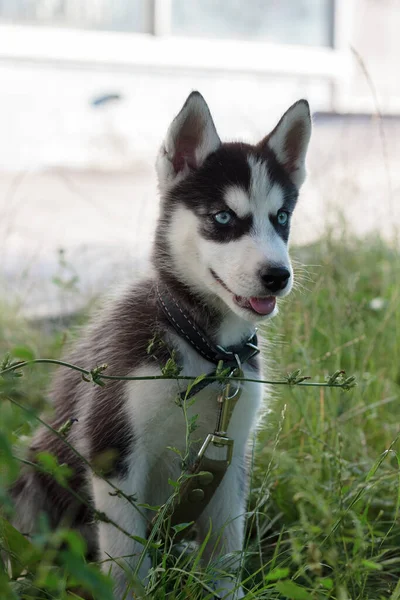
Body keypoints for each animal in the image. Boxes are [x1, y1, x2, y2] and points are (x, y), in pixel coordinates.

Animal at [11, 91, 312, 596]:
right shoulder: (113, 451)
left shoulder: (228, 458)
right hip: (35, 473)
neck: (205, 351)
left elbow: (226, 551)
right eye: (223, 217)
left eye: (282, 218)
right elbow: (127, 562)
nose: (277, 275)